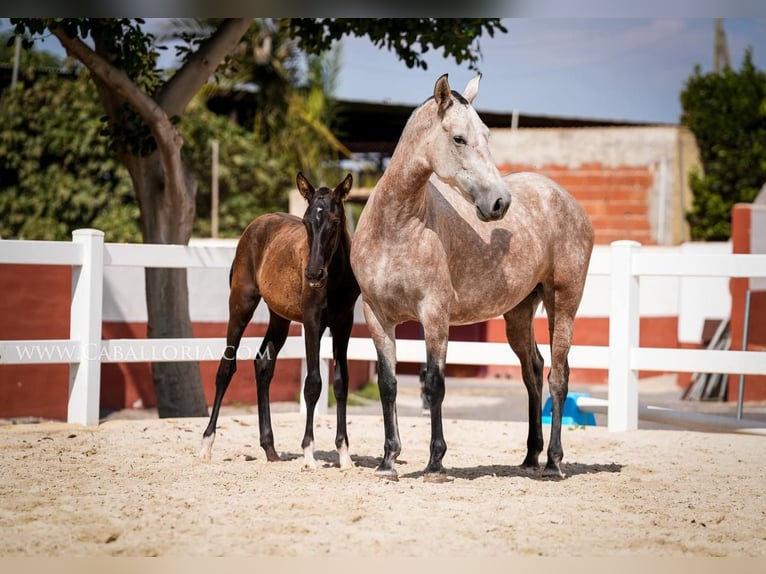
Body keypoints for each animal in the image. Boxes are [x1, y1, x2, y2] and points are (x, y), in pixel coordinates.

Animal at [199, 172, 360, 471]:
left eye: (334, 222)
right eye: (307, 221)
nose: (313, 274)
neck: (334, 276)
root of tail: (254, 226)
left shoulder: (344, 324)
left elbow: (341, 383)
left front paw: (344, 455)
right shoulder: (312, 323)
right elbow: (313, 384)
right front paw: (308, 454)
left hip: (280, 317)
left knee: (263, 364)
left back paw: (270, 448)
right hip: (241, 305)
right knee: (226, 368)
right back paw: (206, 445)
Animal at [350, 74, 595, 482]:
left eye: (487, 134)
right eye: (459, 138)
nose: (499, 203)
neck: (396, 226)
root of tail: (568, 200)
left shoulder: (434, 314)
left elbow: (435, 383)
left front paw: (435, 462)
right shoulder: (377, 315)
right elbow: (388, 384)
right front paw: (388, 460)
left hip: (564, 303)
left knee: (558, 376)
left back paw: (554, 462)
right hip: (518, 313)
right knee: (533, 370)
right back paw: (531, 456)